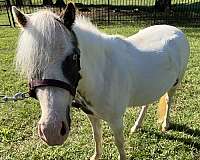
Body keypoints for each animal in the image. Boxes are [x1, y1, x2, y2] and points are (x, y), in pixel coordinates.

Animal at [12, 3, 189, 159]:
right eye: (31, 63)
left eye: (74, 57)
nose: (52, 132)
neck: (103, 73)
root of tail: (175, 29)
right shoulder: (92, 115)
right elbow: (96, 136)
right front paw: (96, 156)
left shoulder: (116, 121)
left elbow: (119, 144)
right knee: (146, 103)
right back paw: (137, 126)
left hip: (175, 84)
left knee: (169, 100)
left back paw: (165, 125)